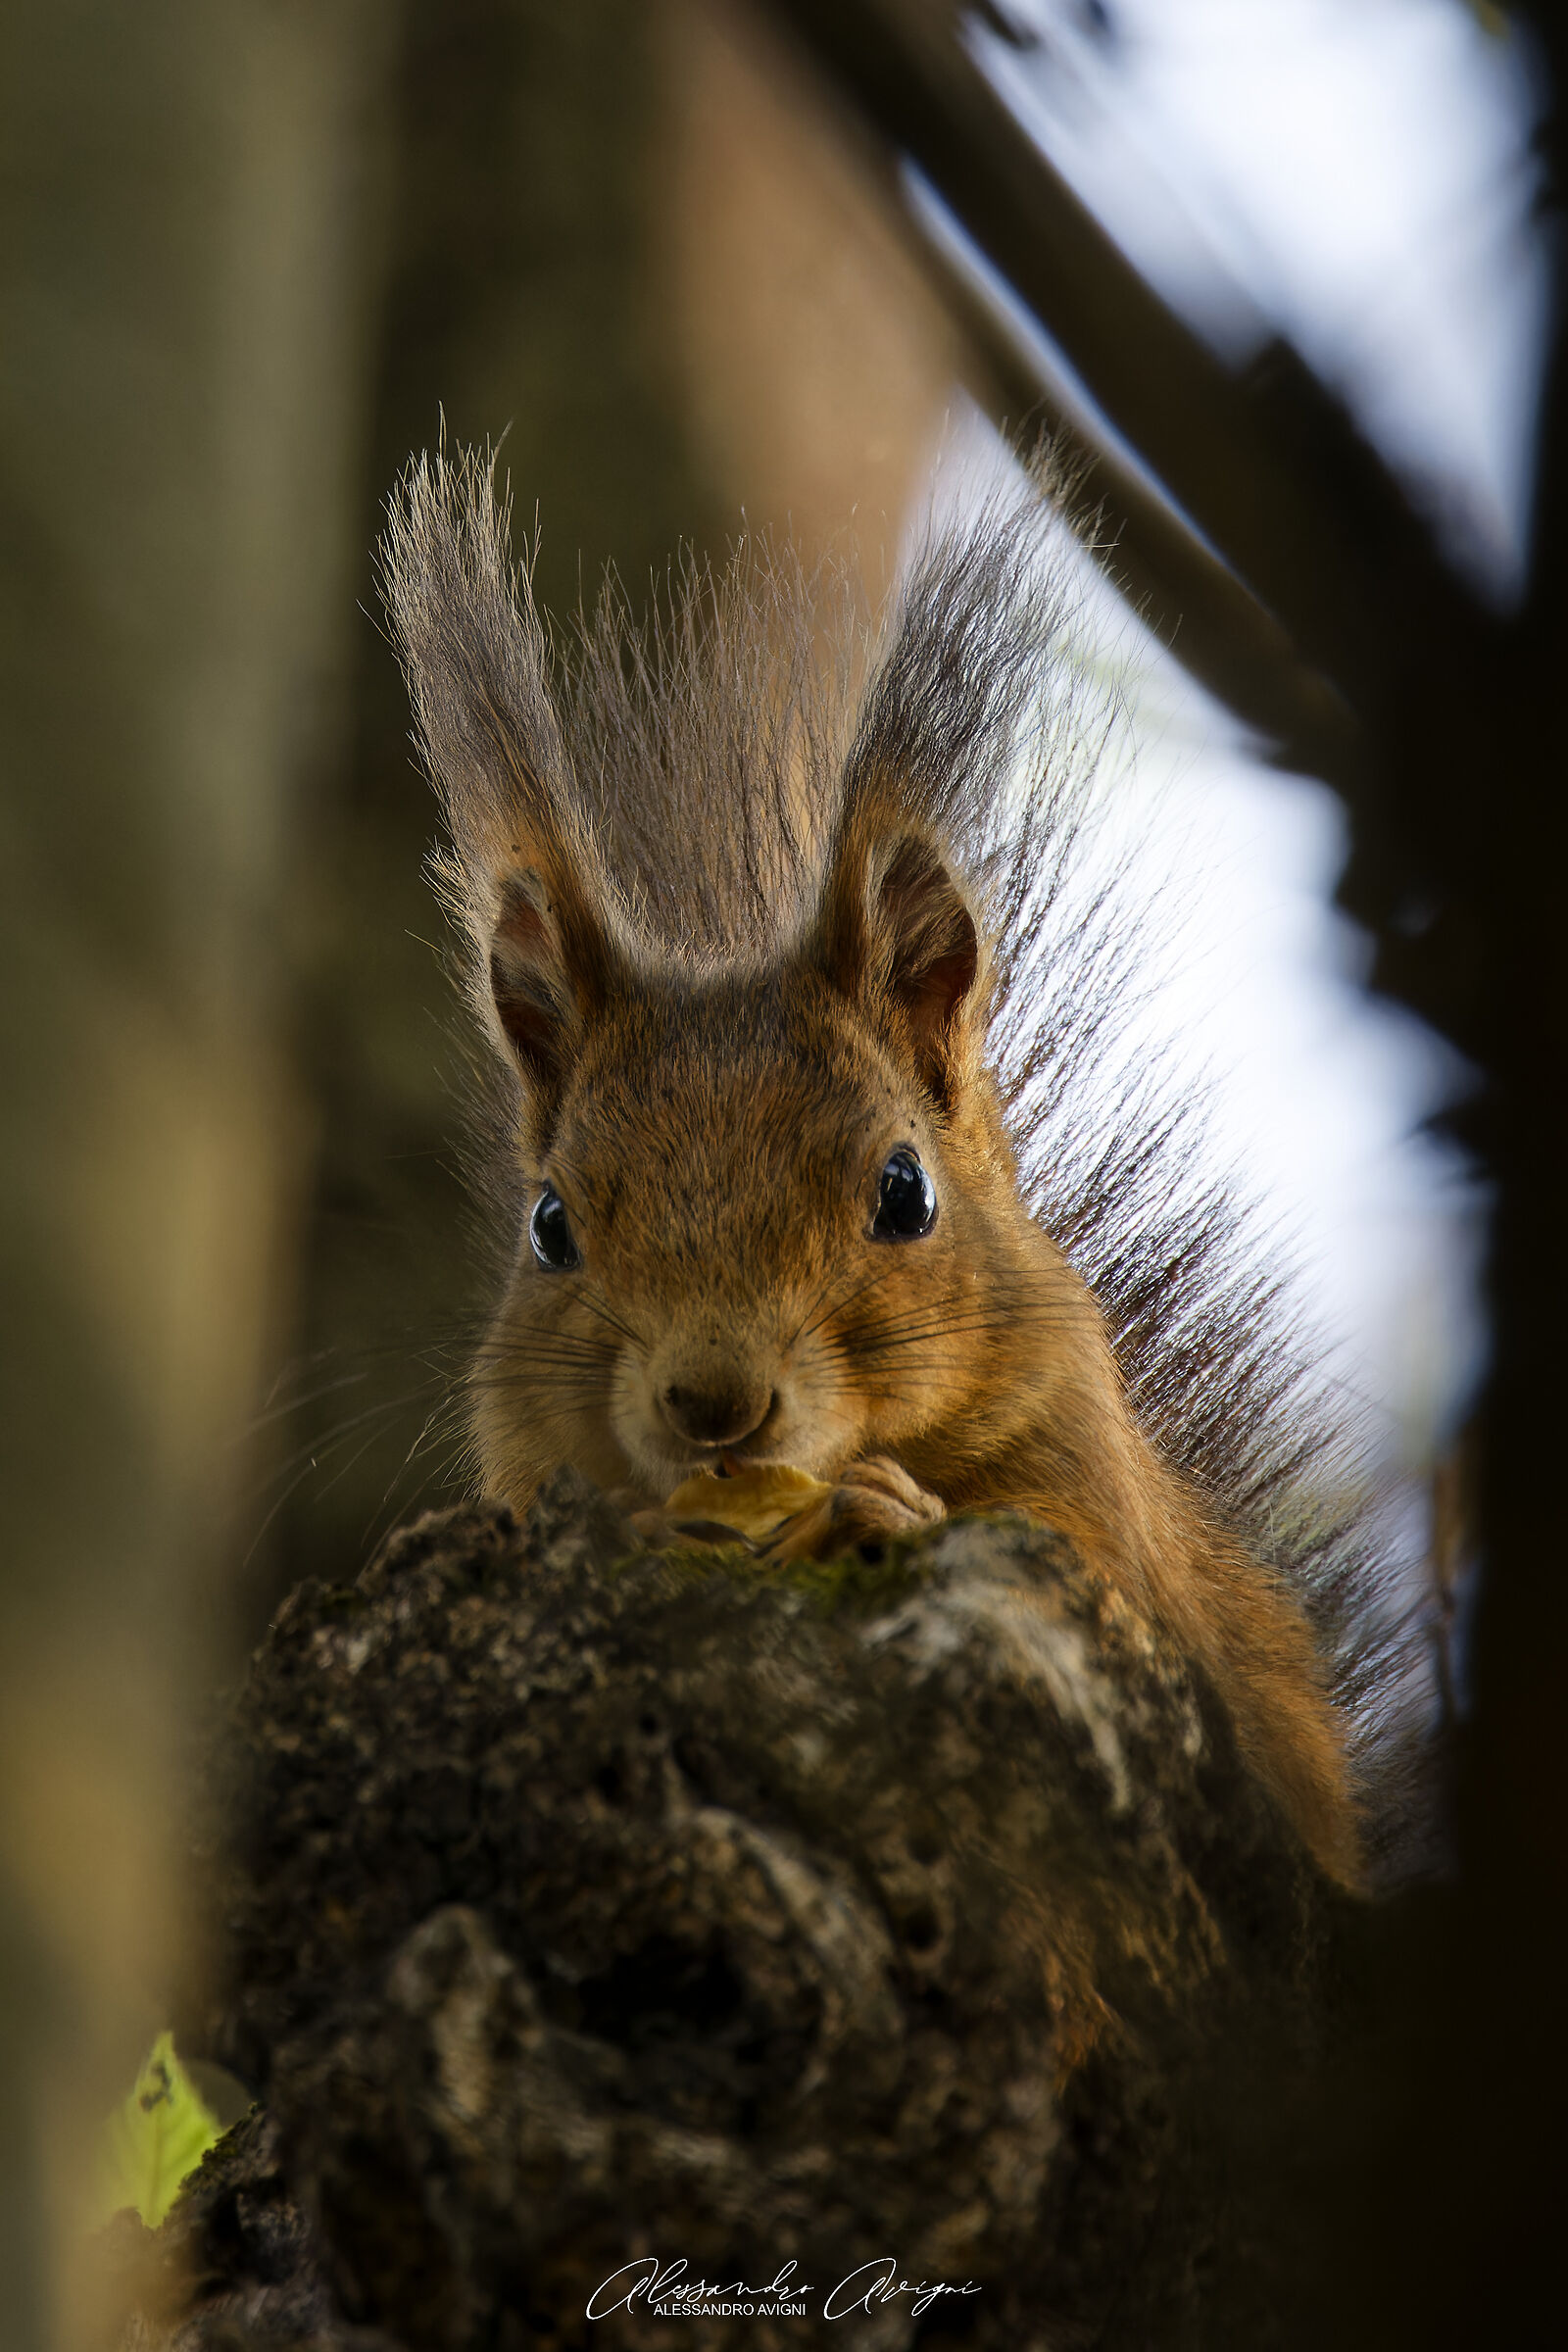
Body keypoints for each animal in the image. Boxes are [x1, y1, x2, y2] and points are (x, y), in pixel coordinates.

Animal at [381, 445, 1374, 1890]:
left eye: (904, 1193)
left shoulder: (1101, 1518)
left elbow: (1101, 1581)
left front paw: (886, 1506)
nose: (714, 1405)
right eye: (552, 1224)